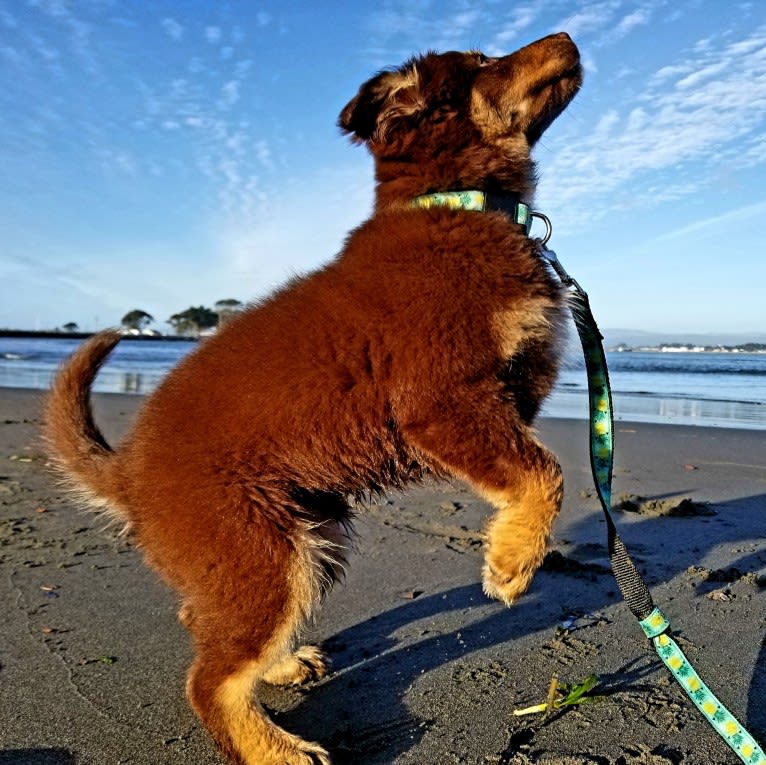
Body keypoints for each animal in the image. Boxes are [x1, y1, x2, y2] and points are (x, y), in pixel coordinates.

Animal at [45, 32, 584, 764]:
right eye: (482, 64)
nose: (570, 39)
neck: (456, 202)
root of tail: (125, 472)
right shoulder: (440, 401)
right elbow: (542, 473)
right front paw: (510, 563)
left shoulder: (507, 395)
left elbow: (535, 462)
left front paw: (512, 552)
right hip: (267, 554)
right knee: (208, 680)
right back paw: (277, 749)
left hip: (306, 541)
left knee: (209, 627)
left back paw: (280, 667)